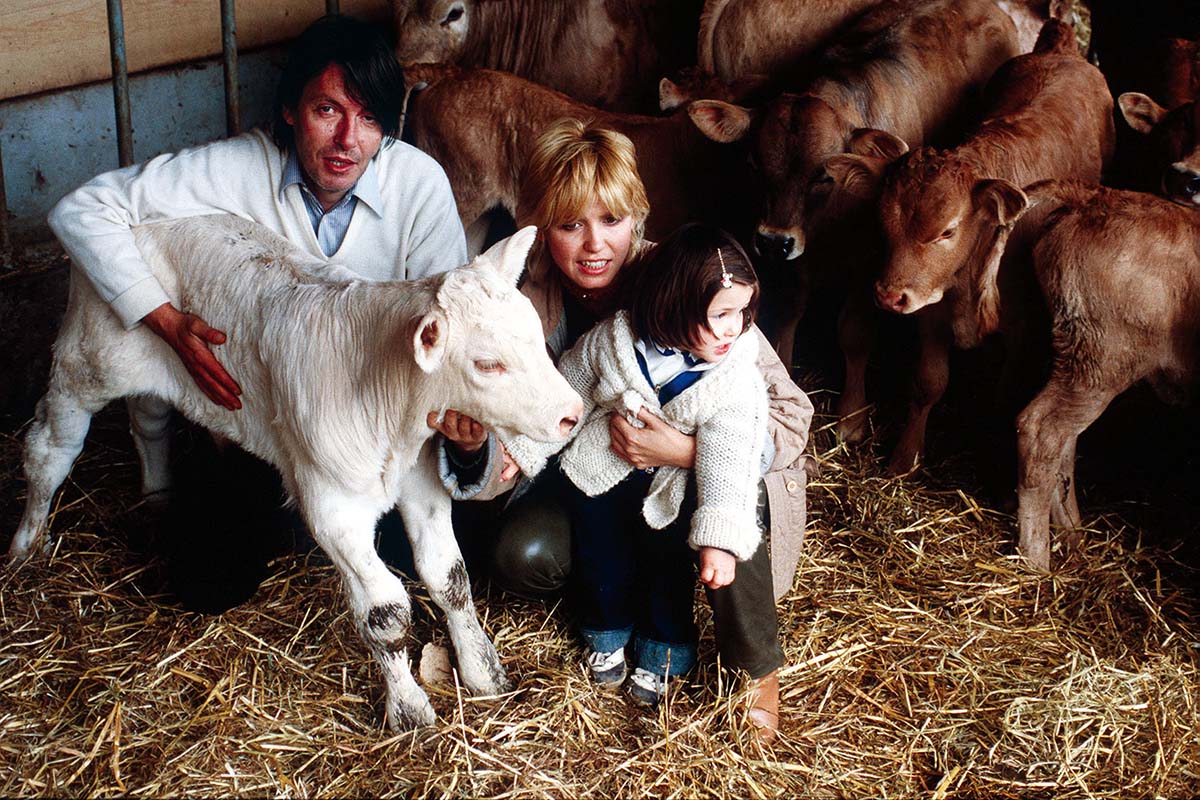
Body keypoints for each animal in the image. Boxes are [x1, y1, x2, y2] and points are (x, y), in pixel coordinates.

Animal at [9, 215, 580, 729]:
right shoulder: (331, 507)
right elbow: (385, 613)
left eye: (535, 334)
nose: (571, 413)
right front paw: (409, 710)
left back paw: (156, 494)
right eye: (487, 364)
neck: (387, 402)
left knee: (147, 420)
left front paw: (484, 672)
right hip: (86, 362)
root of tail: (144, 222)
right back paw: (26, 546)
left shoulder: (420, 479)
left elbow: (450, 577)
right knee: (49, 449)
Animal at [691, 0, 1017, 369]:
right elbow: (789, 312)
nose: (773, 241)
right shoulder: (799, 255)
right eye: (754, 164)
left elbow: (854, 334)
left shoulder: (873, 263)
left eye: (823, 175)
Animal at [1012, 181, 1200, 568]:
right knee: (1041, 432)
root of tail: (1092, 195)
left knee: (1062, 445)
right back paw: (1037, 560)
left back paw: (1073, 538)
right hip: (1101, 364)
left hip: (1080, 363)